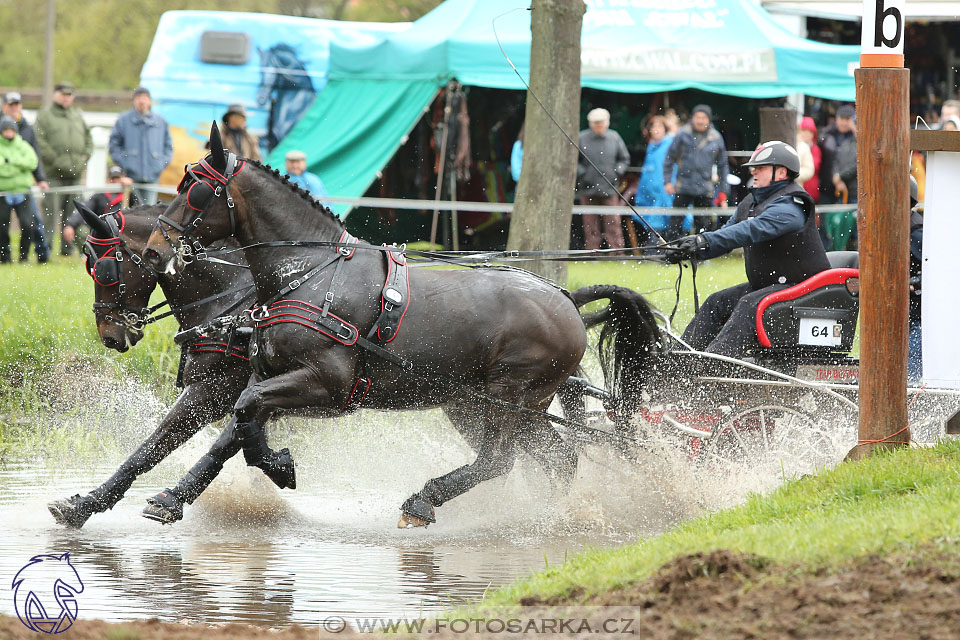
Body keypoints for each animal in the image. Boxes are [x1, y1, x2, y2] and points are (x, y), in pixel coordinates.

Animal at [46, 204, 258, 524]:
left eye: (103, 270)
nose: (108, 336)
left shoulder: (216, 387)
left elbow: (152, 447)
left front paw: (170, 499)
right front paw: (89, 501)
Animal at [144, 126, 668, 528]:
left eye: (194, 189)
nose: (153, 249)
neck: (310, 272)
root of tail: (566, 299)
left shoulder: (327, 383)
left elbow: (246, 413)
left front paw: (278, 465)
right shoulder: (269, 375)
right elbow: (239, 424)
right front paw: (197, 490)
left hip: (512, 396)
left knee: (499, 461)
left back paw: (424, 501)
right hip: (500, 406)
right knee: (559, 460)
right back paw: (540, 515)